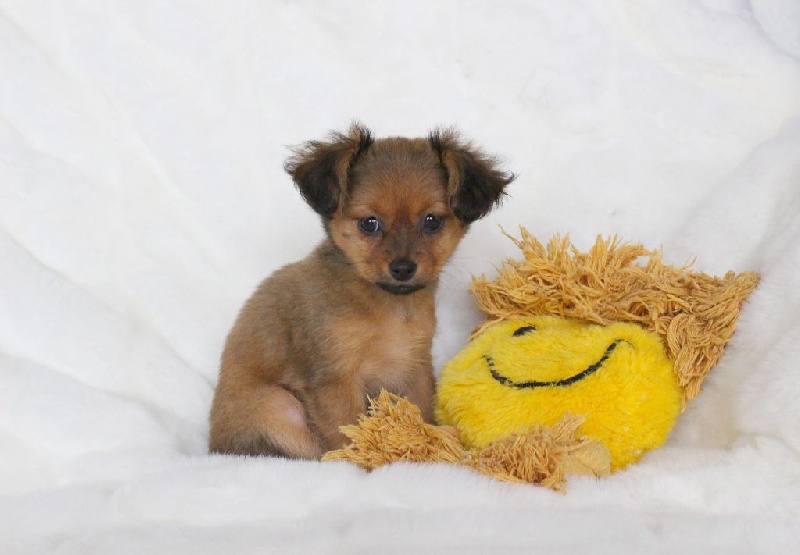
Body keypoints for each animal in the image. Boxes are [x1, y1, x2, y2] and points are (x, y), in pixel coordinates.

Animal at [209, 124, 514, 459]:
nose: (403, 268)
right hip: (276, 405)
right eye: (370, 223)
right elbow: (347, 432)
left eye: (432, 222)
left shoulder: (415, 366)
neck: (386, 306)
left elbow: (421, 412)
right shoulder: (334, 380)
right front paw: (364, 459)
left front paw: (427, 443)